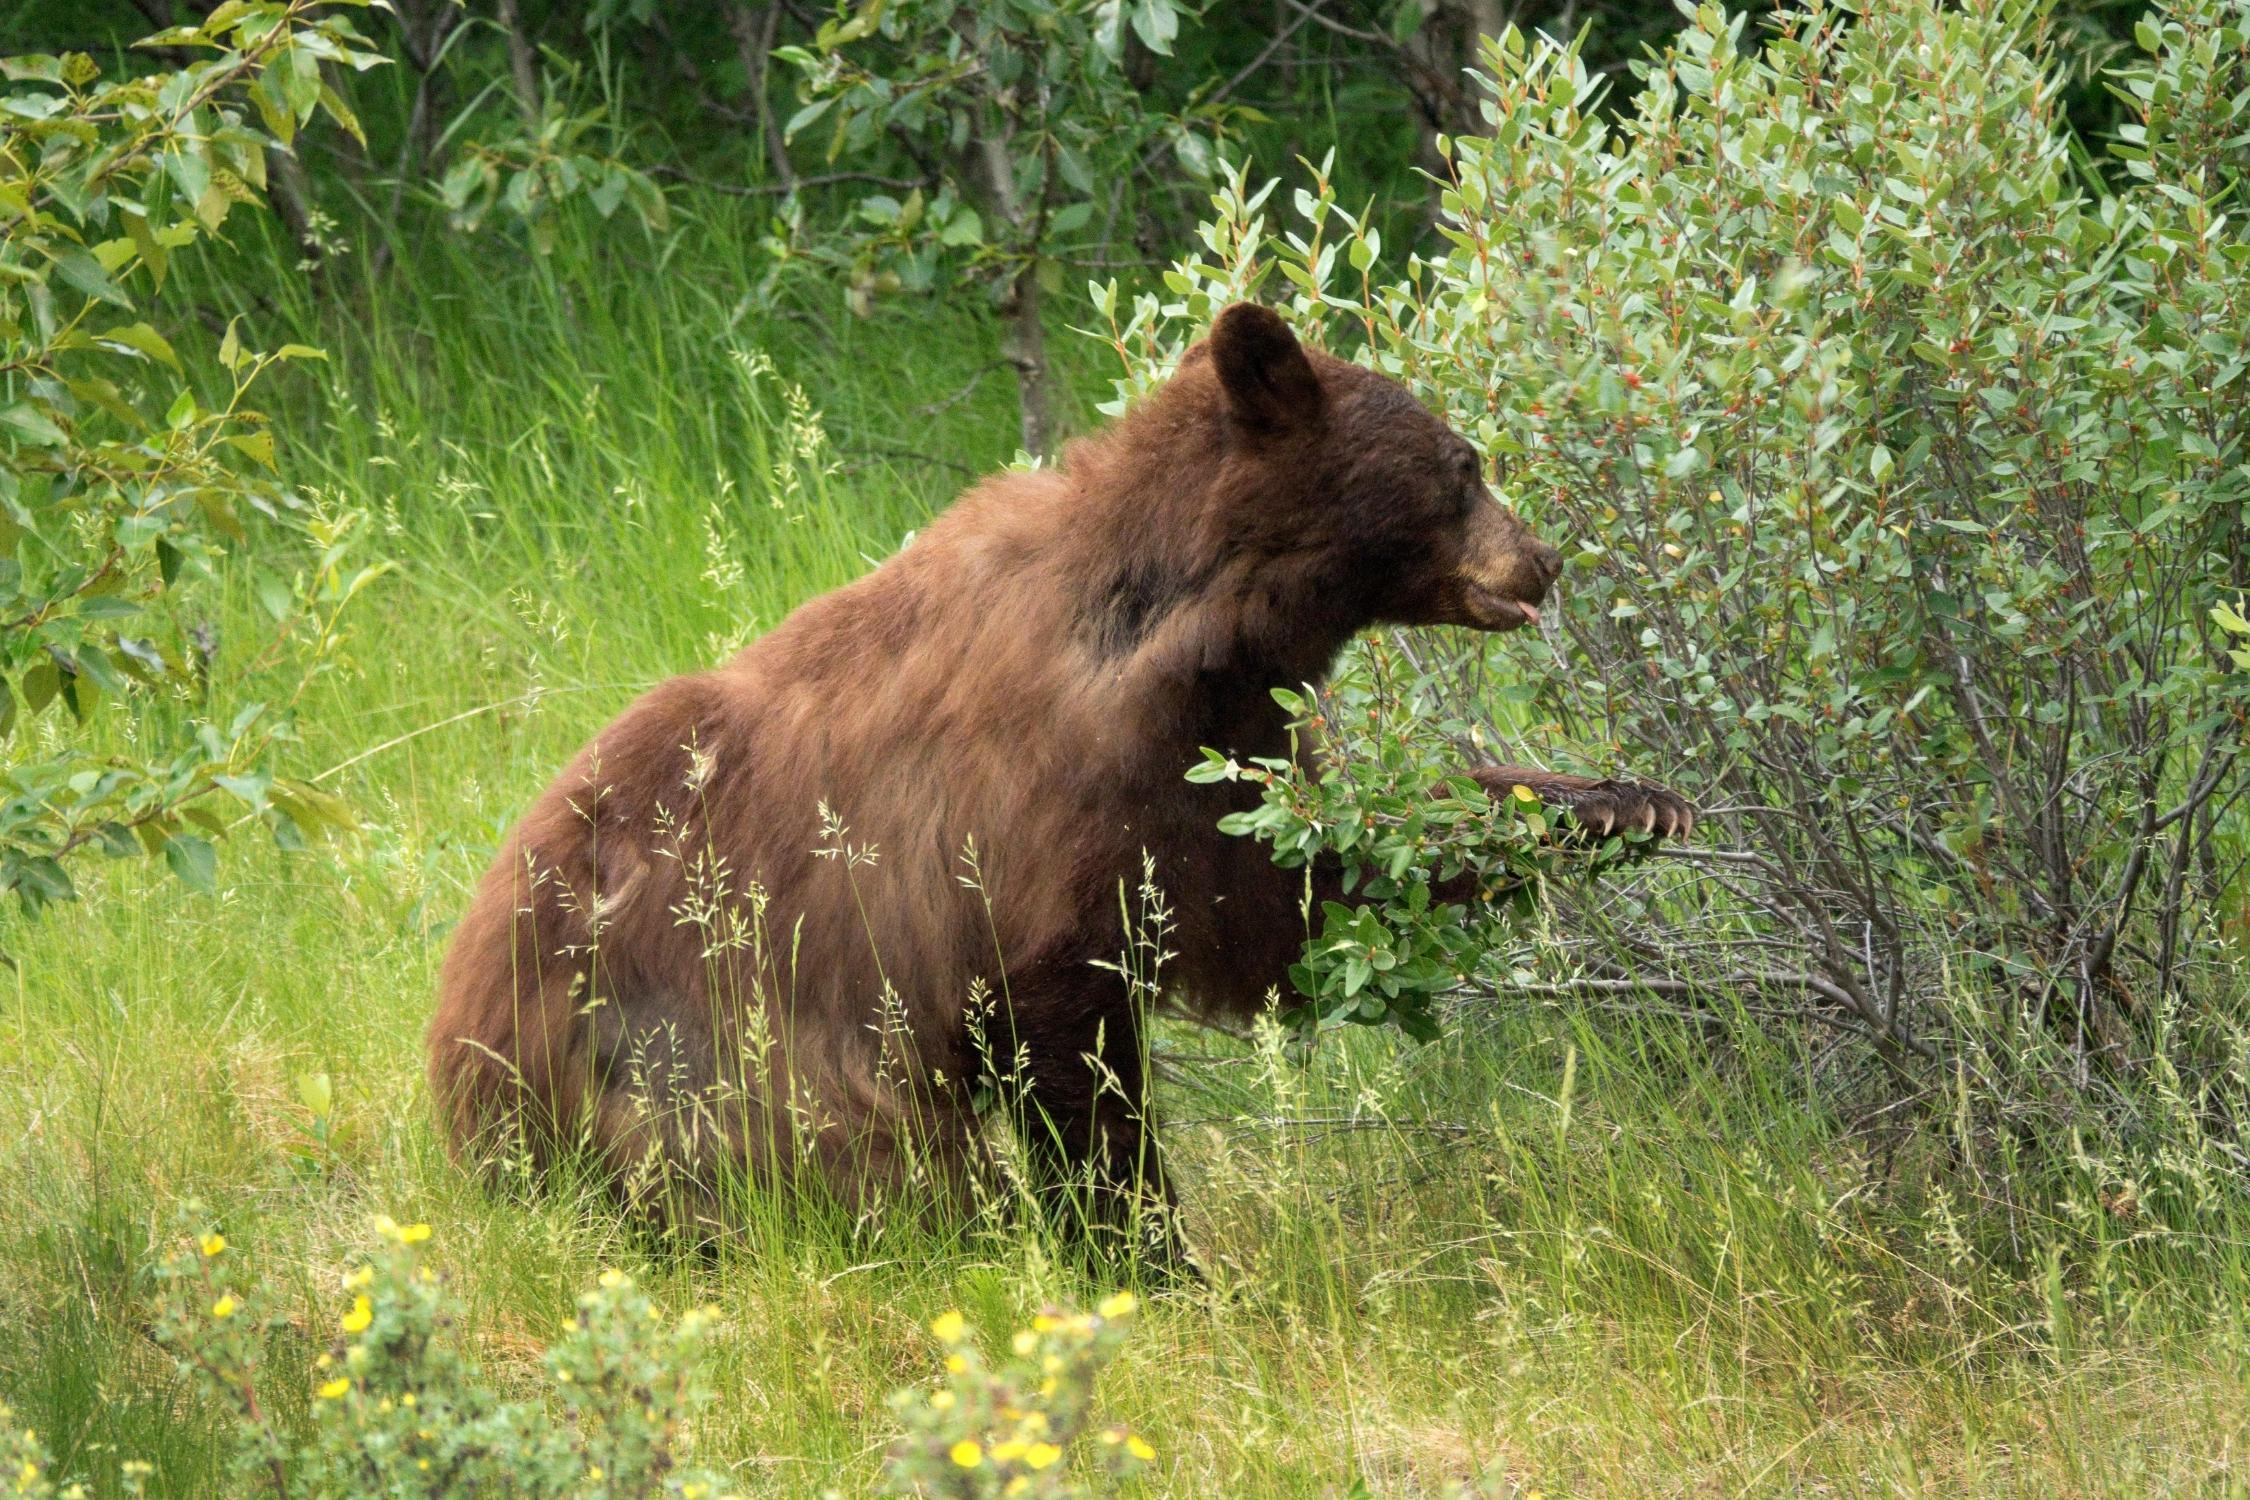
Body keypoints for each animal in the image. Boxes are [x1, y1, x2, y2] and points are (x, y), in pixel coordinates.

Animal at [429, 305, 1692, 1268]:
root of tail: (458, 1071)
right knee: (855, 1155)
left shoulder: (1202, 762)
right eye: (1465, 466)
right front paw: (1145, 1253)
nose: (1544, 560)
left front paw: (1619, 799)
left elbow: (1302, 879)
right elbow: (1078, 1040)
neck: (1187, 634)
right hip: (703, 1052)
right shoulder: (1042, 813)